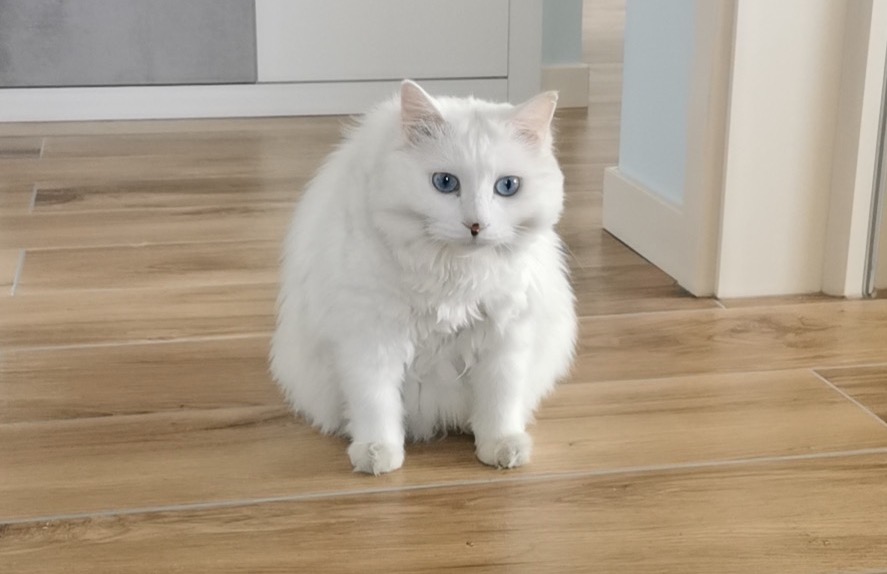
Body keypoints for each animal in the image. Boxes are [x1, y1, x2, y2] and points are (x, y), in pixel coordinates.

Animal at [270, 81, 576, 476]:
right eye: (445, 183)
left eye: (507, 187)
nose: (476, 225)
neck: (453, 276)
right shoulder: (369, 338)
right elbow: (375, 403)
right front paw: (378, 454)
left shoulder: (506, 335)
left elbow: (500, 401)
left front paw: (501, 447)